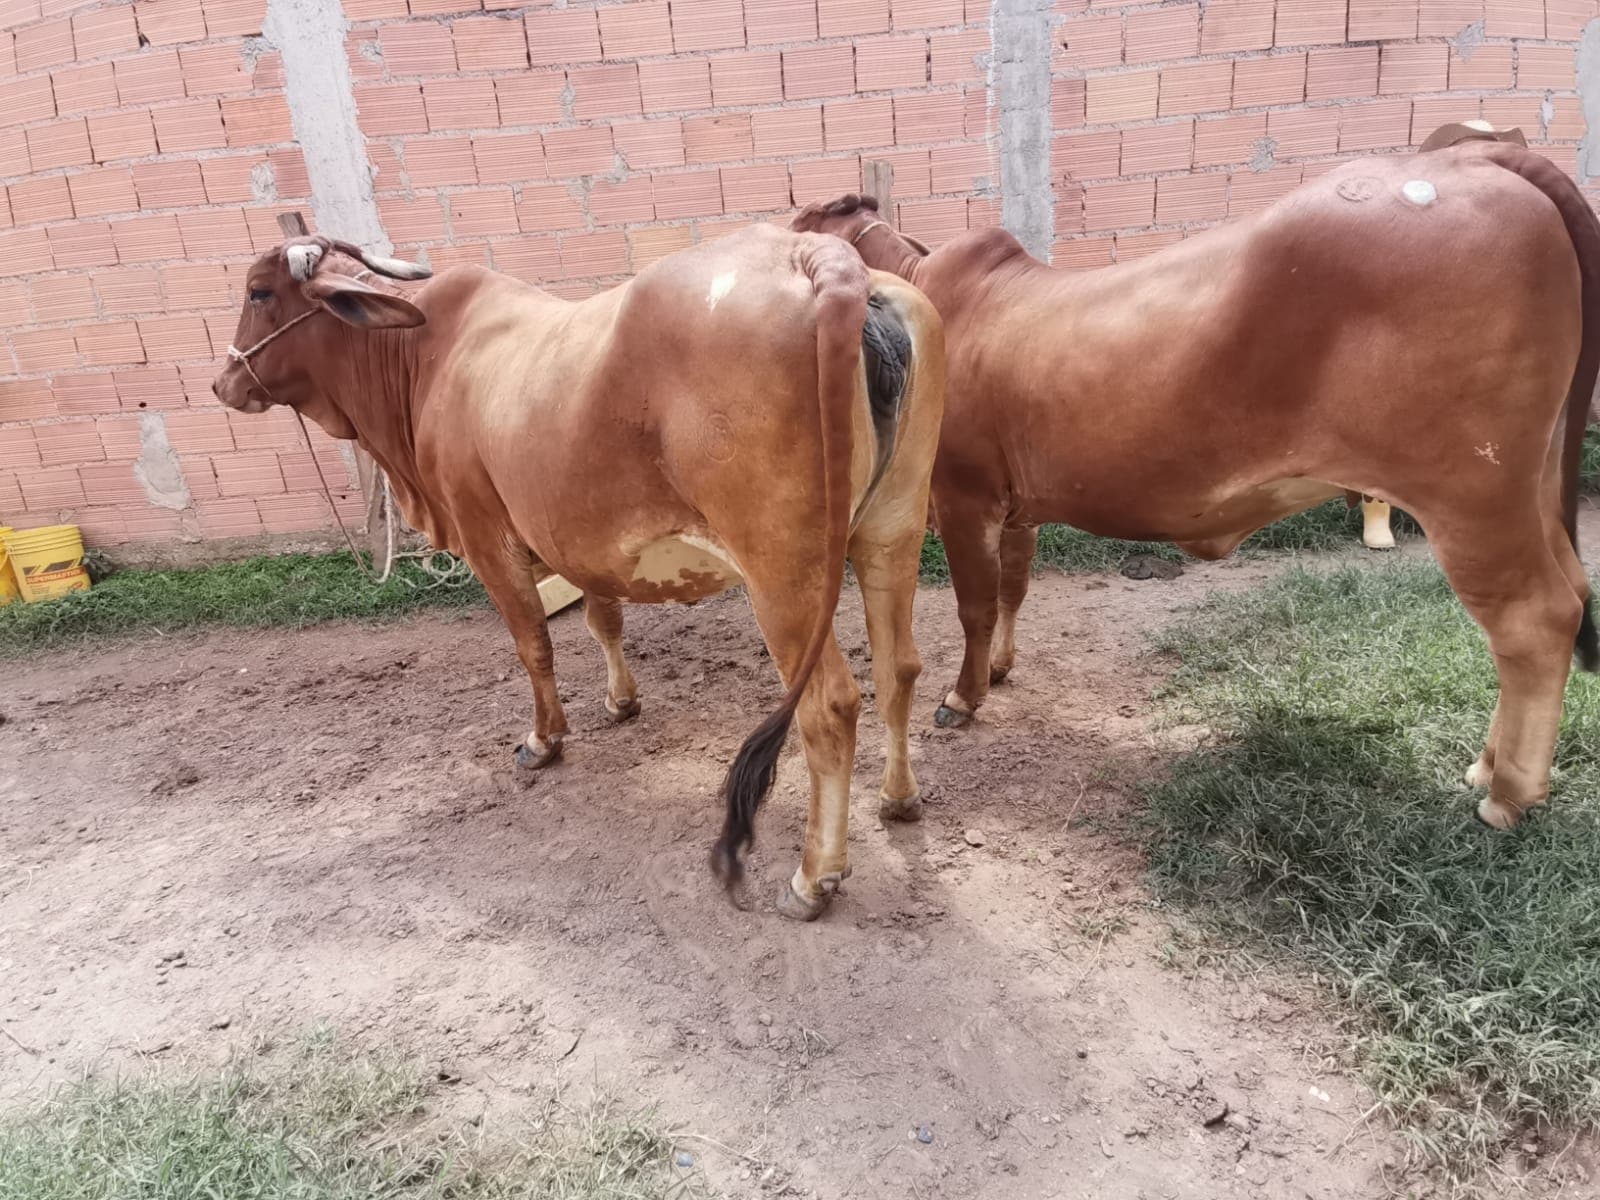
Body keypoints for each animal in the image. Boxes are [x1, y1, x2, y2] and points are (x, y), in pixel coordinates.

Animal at [212, 226, 945, 919]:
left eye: (258, 292)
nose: (224, 382)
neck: (421, 359)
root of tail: (820, 256)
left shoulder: (487, 537)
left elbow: (533, 644)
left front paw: (543, 740)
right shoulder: (583, 539)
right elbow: (602, 618)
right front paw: (621, 701)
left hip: (784, 571)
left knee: (831, 705)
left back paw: (813, 876)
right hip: (894, 530)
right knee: (899, 668)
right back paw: (899, 797)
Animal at [792, 133, 1600, 831]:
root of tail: (1477, 157)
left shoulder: (963, 492)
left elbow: (976, 605)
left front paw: (964, 696)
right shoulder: (1019, 505)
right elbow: (1014, 589)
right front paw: (998, 670)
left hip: (1473, 494)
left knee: (1534, 620)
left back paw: (1507, 794)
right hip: (1528, 486)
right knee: (1564, 592)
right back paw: (1488, 766)